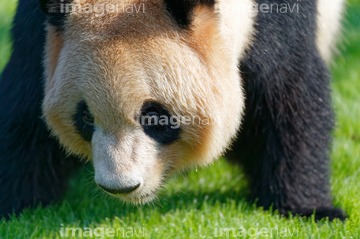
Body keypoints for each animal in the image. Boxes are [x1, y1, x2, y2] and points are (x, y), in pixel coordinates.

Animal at [0, 0, 346, 220]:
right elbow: (24, 112)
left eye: (154, 117)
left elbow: (291, 101)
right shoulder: (41, 34)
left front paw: (310, 209)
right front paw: (17, 203)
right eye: (86, 117)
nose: (121, 186)